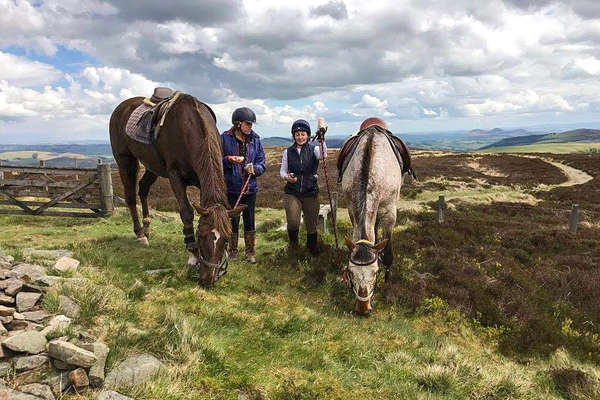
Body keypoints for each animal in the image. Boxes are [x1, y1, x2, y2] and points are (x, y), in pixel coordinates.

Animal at [110, 93, 244, 286]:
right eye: (201, 235)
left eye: (226, 238)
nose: (208, 279)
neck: (189, 127)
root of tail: (122, 106)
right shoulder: (175, 176)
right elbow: (186, 212)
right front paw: (192, 253)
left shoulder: (201, 181)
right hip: (126, 162)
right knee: (130, 196)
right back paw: (140, 234)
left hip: (152, 166)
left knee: (143, 189)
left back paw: (147, 227)